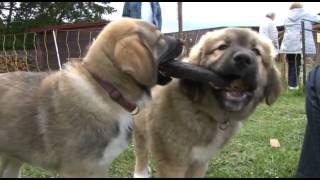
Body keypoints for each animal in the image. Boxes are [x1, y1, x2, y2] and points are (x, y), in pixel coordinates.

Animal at [0, 17, 182, 178]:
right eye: (160, 39)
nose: (182, 42)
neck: (106, 90)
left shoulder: (99, 166)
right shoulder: (75, 170)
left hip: (11, 161)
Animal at [134, 27, 282, 177]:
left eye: (256, 51)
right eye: (222, 47)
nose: (243, 59)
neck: (204, 111)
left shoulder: (200, 160)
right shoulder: (172, 162)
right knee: (141, 151)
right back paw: (141, 173)